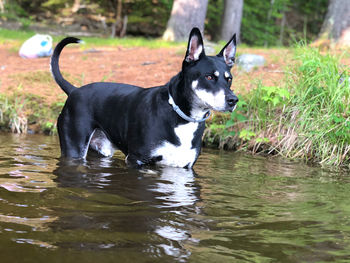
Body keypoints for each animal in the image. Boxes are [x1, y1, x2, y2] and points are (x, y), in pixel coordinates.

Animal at [51, 27, 238, 168]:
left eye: (229, 79)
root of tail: (74, 90)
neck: (180, 116)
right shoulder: (136, 160)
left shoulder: (183, 166)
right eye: (209, 77)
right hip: (74, 149)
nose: (233, 100)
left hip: (100, 149)